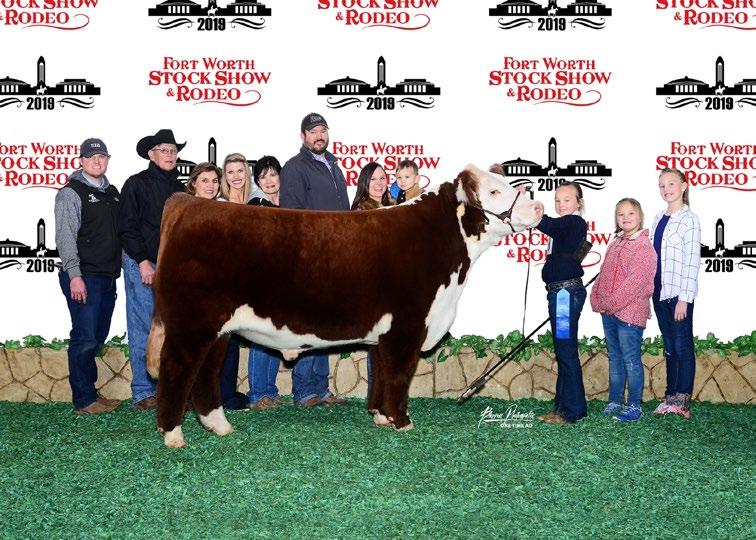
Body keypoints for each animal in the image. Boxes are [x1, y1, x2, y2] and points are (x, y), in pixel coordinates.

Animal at [146, 164, 542, 447]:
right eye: (494, 190)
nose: (538, 204)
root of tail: (189, 203)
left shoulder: (387, 331)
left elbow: (380, 372)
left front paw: (380, 416)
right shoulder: (408, 324)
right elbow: (399, 374)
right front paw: (403, 422)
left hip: (217, 330)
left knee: (205, 373)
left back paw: (219, 426)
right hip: (191, 324)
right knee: (177, 368)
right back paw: (173, 435)